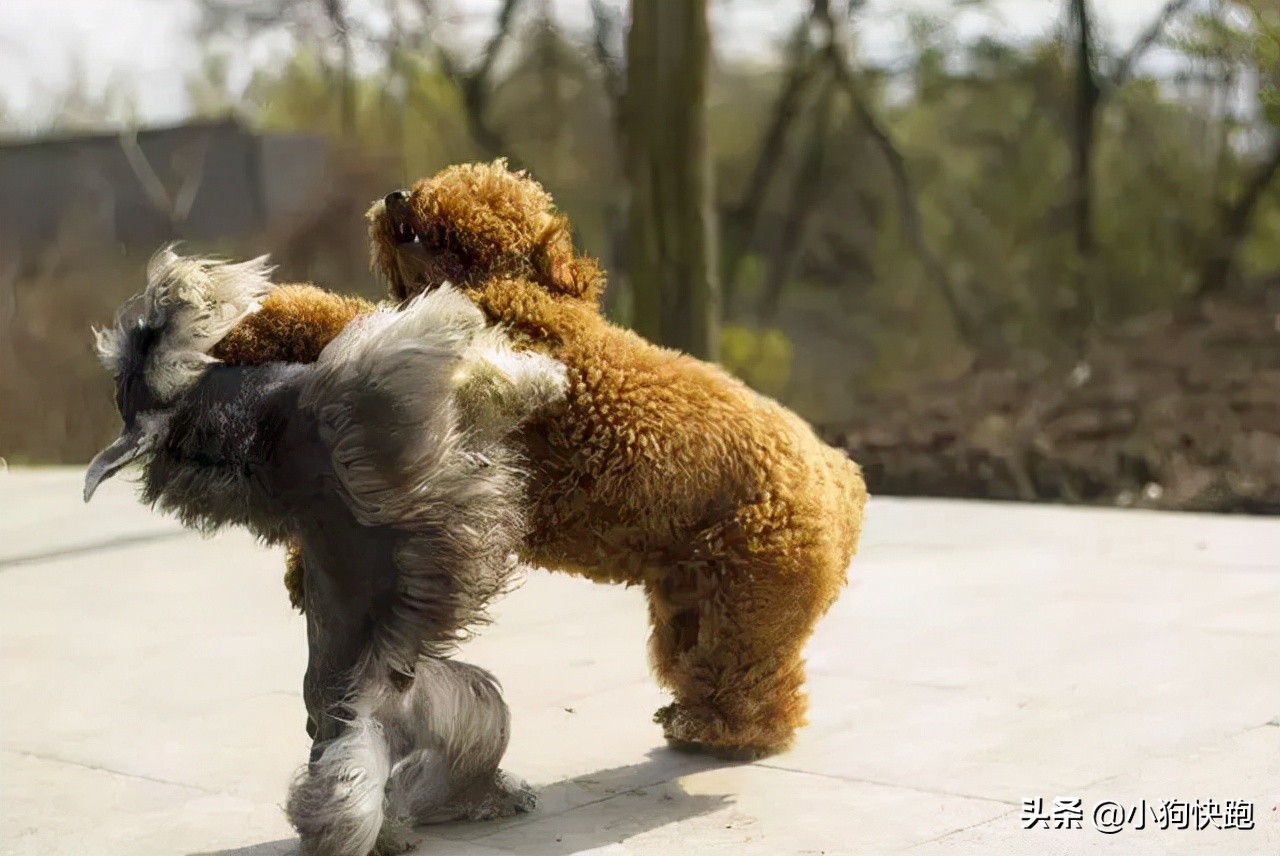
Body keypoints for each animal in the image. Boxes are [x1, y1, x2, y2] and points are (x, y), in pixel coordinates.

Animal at [80, 250, 560, 854]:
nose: (156, 301)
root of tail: (386, 724)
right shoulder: (370, 392)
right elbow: (460, 358)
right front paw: (539, 375)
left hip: (472, 710)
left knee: (437, 781)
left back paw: (471, 802)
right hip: (359, 768)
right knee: (349, 810)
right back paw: (394, 827)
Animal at [215, 159, 870, 752]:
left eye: (484, 198)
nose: (399, 195)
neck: (518, 287)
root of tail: (841, 476)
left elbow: (339, 321)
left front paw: (249, 323)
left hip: (751, 597)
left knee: (761, 685)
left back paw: (719, 730)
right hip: (691, 599)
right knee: (718, 668)